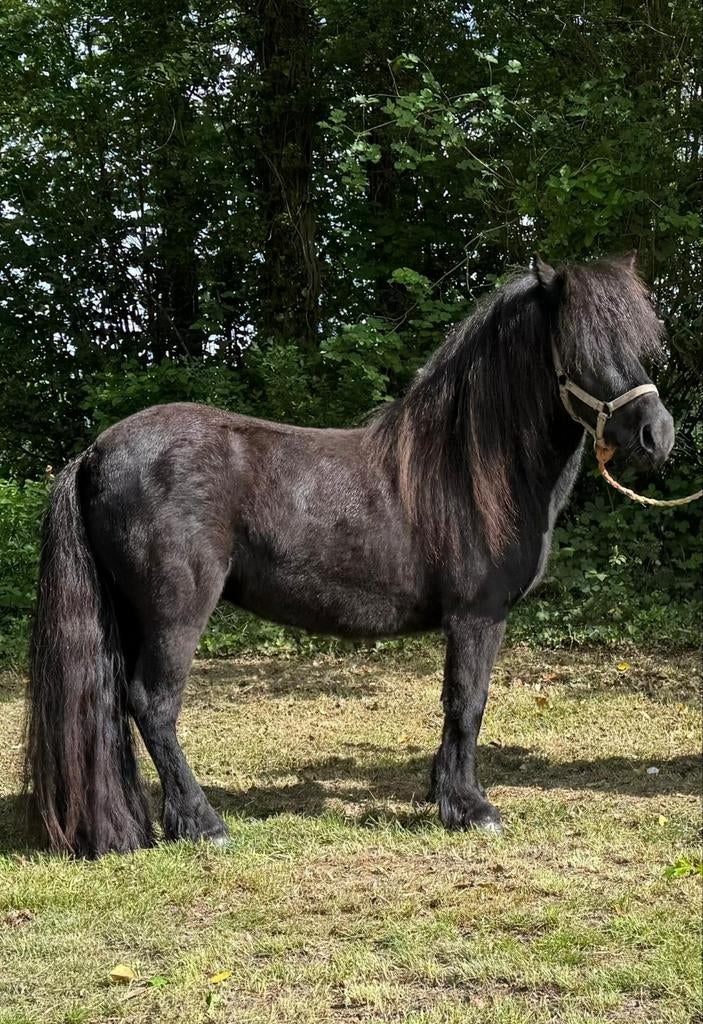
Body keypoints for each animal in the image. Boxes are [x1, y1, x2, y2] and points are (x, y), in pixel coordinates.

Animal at [26, 253, 674, 857]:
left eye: (639, 344)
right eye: (579, 346)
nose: (657, 434)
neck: (467, 470)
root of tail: (94, 452)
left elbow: (456, 707)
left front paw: (442, 793)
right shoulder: (477, 616)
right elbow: (469, 703)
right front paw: (471, 809)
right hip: (175, 614)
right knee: (153, 704)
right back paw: (203, 824)